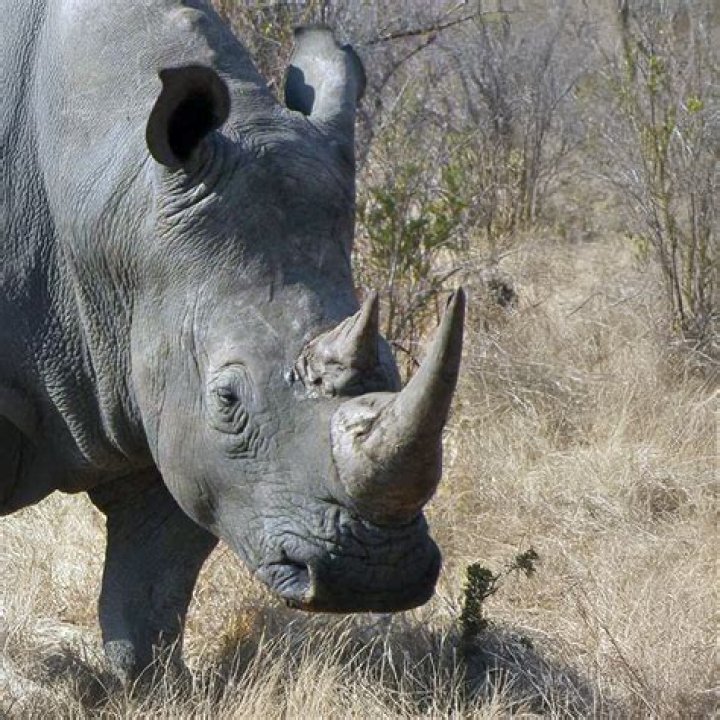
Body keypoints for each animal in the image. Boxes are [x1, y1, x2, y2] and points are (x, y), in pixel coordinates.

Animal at [0, 0, 465, 682]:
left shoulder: (164, 388)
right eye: (229, 399)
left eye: (391, 366)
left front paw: (151, 690)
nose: (374, 575)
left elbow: (151, 590)